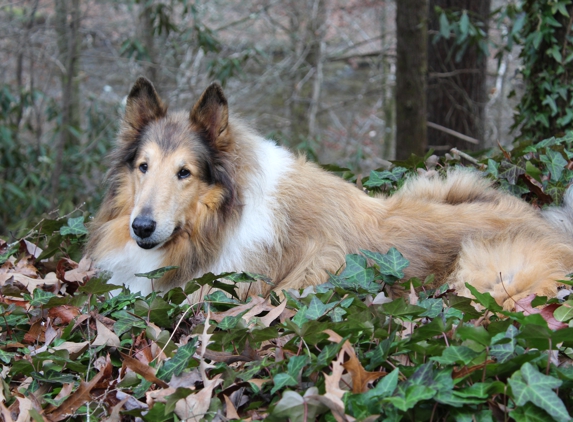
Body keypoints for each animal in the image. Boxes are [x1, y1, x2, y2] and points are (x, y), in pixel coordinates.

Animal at [87, 77, 572, 310]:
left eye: (184, 172)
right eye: (143, 166)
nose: (141, 227)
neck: (220, 220)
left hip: (488, 276)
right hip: (443, 182)